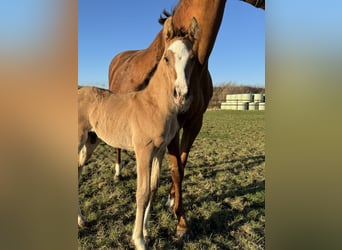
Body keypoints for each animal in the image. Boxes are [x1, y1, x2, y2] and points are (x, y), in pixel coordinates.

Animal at [78, 16, 199, 249]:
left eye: (193, 59)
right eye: (166, 58)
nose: (181, 95)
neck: (154, 105)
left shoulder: (159, 151)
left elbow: (153, 188)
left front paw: (146, 231)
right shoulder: (143, 151)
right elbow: (141, 193)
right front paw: (139, 240)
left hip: (91, 141)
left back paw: (81, 220)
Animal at [109, 0, 227, 236]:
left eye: (193, 59)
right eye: (166, 58)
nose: (181, 95)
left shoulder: (194, 123)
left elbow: (181, 165)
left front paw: (173, 203)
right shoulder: (172, 126)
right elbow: (174, 168)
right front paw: (180, 221)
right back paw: (118, 172)